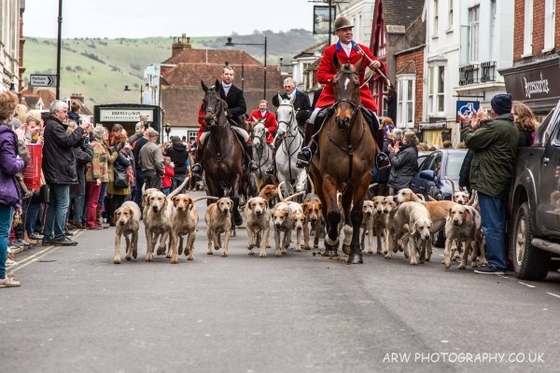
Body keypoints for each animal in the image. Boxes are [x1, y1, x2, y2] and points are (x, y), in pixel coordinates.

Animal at [200, 80, 246, 228]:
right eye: (204, 100)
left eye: (218, 100)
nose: (208, 118)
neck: (219, 144)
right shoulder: (211, 178)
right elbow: (217, 199)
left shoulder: (236, 175)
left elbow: (235, 198)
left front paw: (237, 218)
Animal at [308, 61, 378, 264]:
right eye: (334, 83)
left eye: (357, 83)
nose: (342, 119)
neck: (348, 139)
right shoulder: (329, 177)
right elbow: (333, 213)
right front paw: (331, 240)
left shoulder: (363, 178)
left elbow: (355, 214)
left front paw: (355, 252)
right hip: (317, 178)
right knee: (326, 207)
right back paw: (331, 243)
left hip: (350, 182)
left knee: (346, 205)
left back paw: (346, 240)